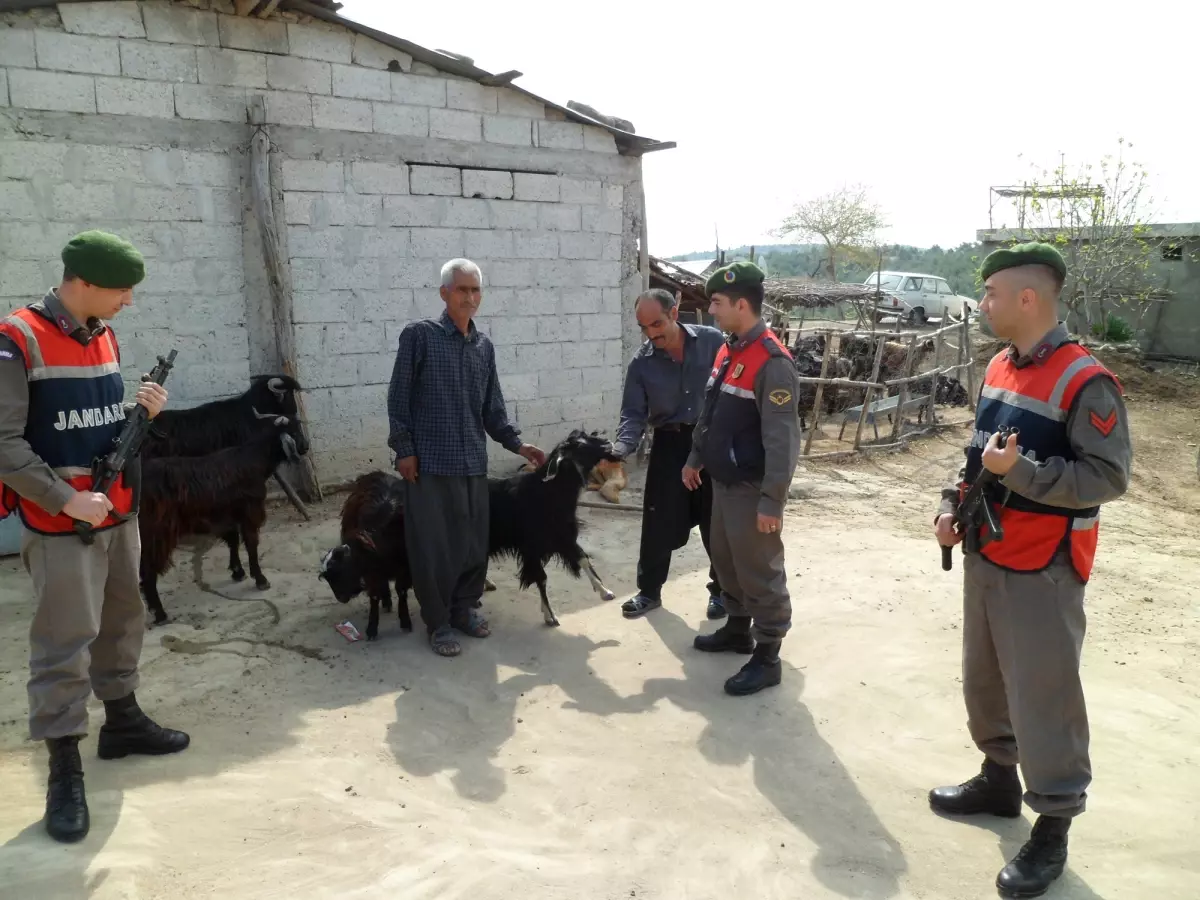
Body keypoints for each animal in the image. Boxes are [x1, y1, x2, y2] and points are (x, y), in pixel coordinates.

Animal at [137, 415, 307, 628]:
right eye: (294, 431)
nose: (306, 447)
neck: (254, 460)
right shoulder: (249, 511)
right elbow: (251, 543)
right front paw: (260, 579)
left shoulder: (226, 516)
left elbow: (233, 540)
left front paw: (237, 571)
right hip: (156, 532)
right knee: (147, 570)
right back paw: (160, 613)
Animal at [319, 432, 619, 638]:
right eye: (580, 444)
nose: (610, 445)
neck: (547, 493)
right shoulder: (532, 546)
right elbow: (542, 578)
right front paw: (550, 616)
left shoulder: (563, 536)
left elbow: (584, 559)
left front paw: (606, 592)